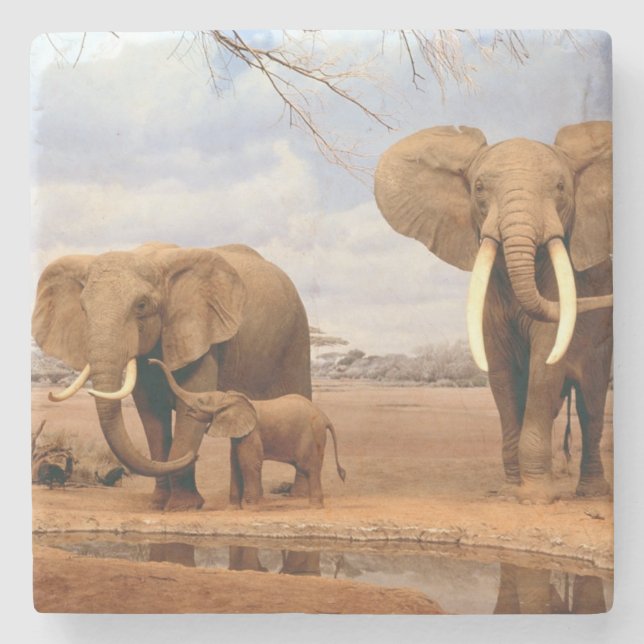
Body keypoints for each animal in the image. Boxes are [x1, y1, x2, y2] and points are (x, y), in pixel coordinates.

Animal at [32, 242, 312, 511]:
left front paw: (182, 507)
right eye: (83, 308)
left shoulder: (200, 334)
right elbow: (151, 414)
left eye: (141, 305)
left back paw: (297, 494)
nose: (195, 456)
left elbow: (191, 403)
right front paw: (158, 504)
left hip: (297, 338)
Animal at [149, 358, 346, 508]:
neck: (229, 398)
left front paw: (251, 506)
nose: (150, 361)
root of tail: (324, 416)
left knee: (309, 467)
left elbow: (248, 463)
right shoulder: (238, 434)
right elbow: (235, 464)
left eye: (201, 400)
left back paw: (315, 506)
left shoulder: (252, 433)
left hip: (310, 434)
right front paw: (233, 507)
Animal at [375, 122, 613, 502]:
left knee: (591, 404)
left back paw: (591, 495)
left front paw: (535, 498)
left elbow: (545, 365)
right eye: (479, 188)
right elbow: (500, 371)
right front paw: (510, 491)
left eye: (561, 187)